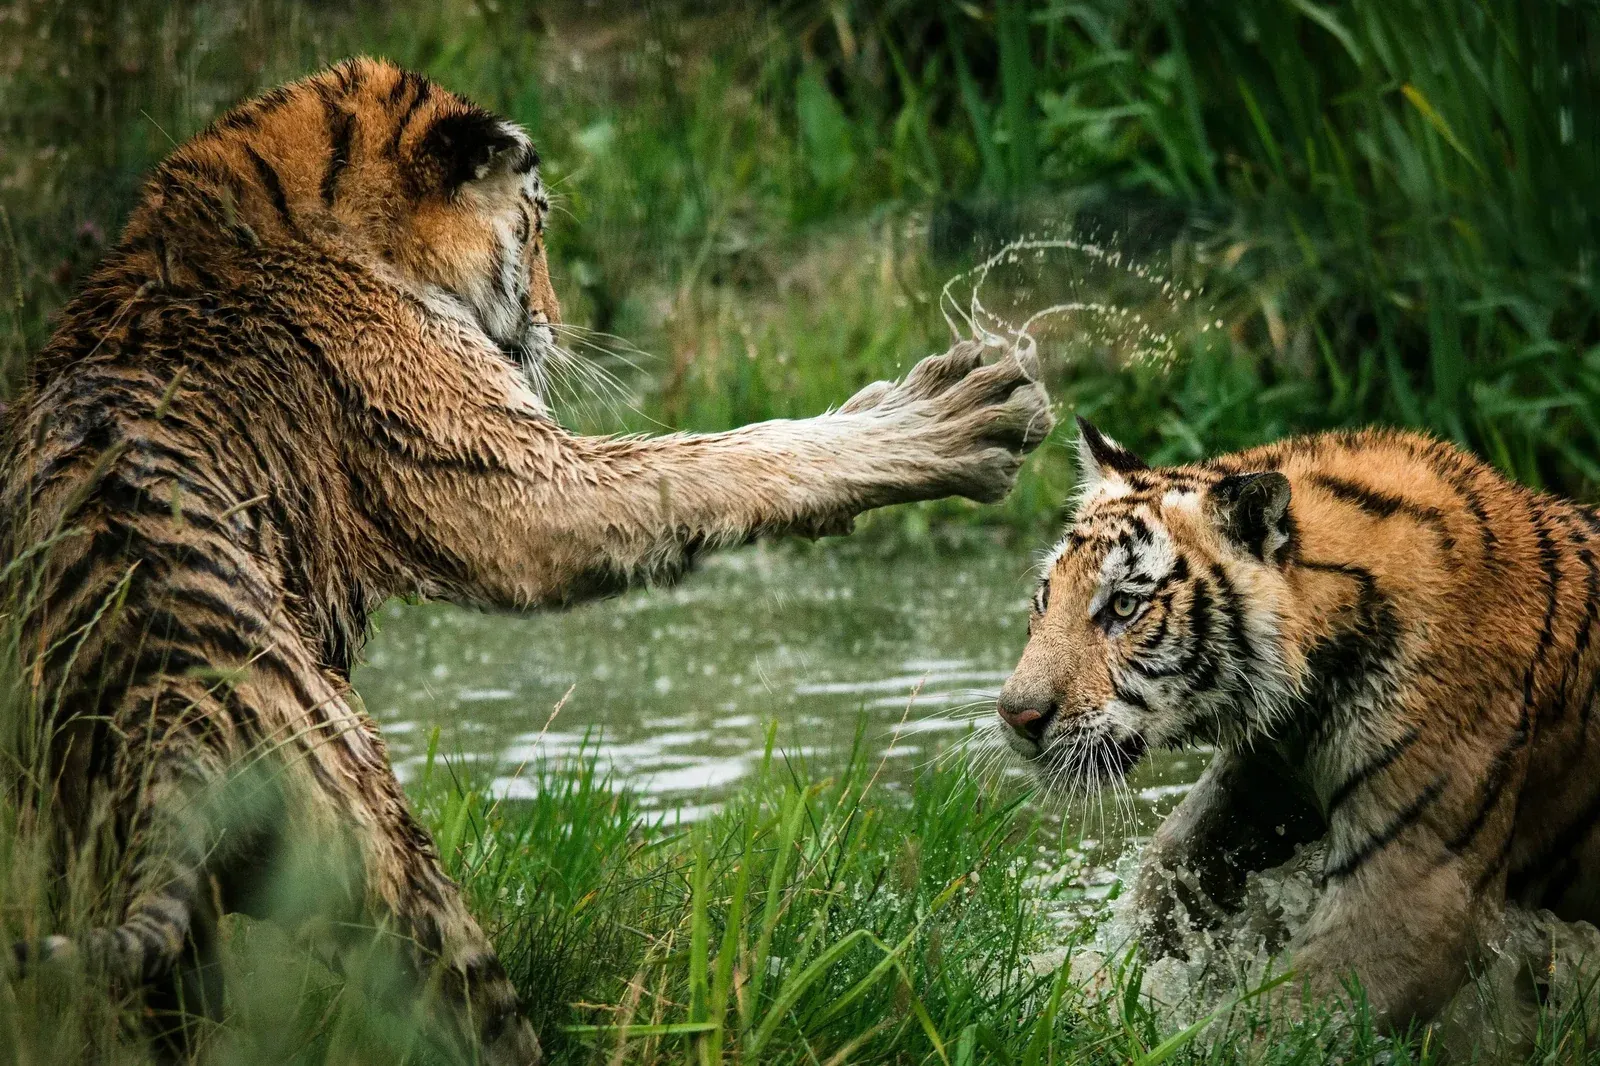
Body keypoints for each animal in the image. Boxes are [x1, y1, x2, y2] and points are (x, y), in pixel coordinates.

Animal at [0, 57, 1052, 1062]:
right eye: (537, 229)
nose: (552, 321)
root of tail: (165, 709)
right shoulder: (518, 482)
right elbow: (722, 459)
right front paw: (956, 417)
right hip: (387, 863)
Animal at [996, 417, 1600, 1029]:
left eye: (1123, 606)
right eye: (1045, 599)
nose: (1015, 715)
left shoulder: (1418, 895)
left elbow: (1279, 1017)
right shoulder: (1264, 778)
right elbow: (1170, 868)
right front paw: (1079, 988)